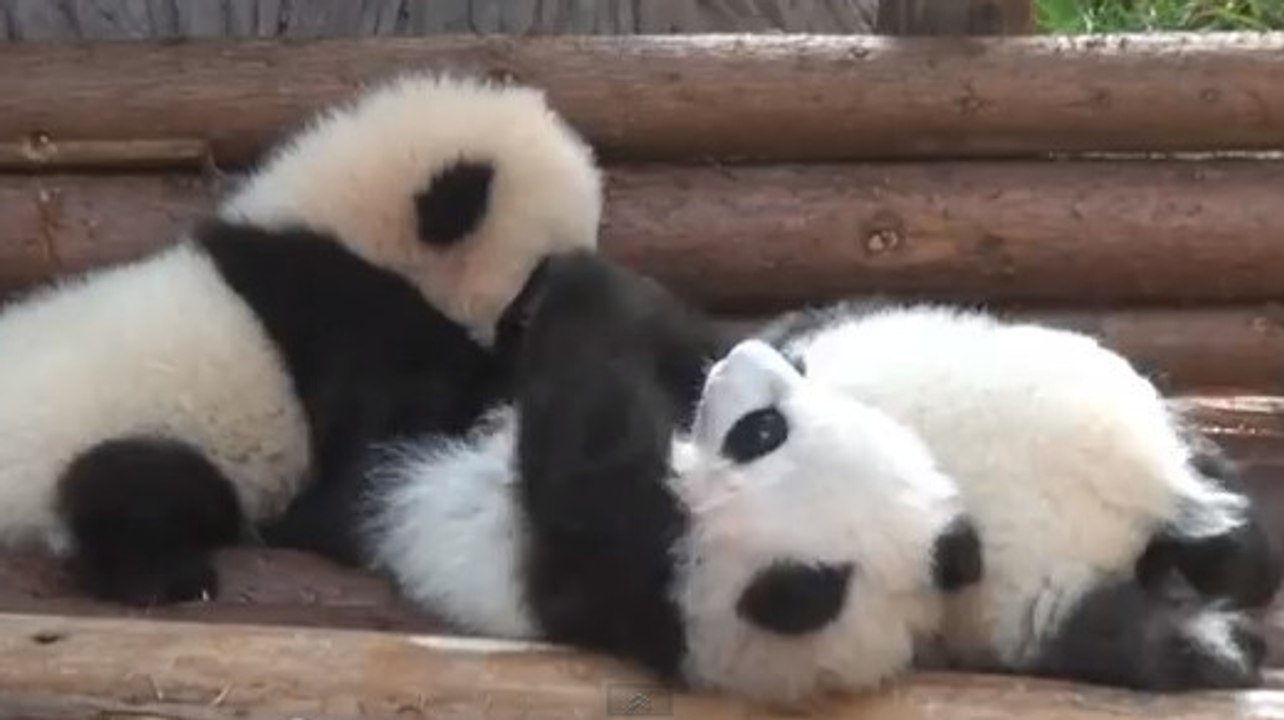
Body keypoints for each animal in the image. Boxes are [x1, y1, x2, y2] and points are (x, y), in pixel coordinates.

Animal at [358, 253, 984, 705]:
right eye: (811, 388)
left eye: (762, 431)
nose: (748, 352)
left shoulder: (637, 565)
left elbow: (583, 445)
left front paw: (578, 280)